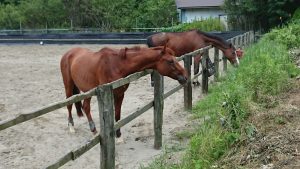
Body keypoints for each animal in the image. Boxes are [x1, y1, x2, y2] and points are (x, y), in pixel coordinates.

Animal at [59, 45, 188, 138]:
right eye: (170, 61)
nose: (185, 76)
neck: (117, 65)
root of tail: (68, 53)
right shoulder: (109, 94)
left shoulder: (120, 94)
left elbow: (117, 115)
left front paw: (118, 136)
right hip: (69, 86)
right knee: (69, 105)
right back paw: (71, 126)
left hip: (87, 90)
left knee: (86, 107)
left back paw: (93, 129)